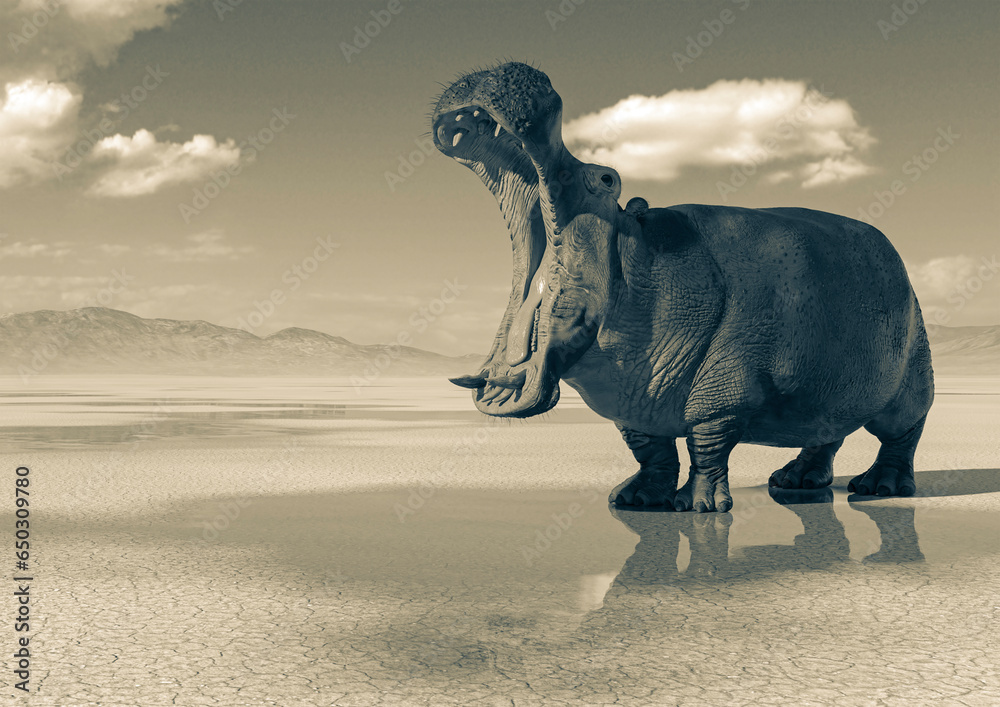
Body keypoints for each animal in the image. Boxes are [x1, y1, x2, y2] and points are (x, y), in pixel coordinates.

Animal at [431, 62, 934, 512]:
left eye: (607, 178)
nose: (518, 73)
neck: (638, 262)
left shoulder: (721, 394)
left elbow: (707, 445)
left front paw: (698, 506)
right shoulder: (632, 400)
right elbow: (650, 449)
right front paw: (634, 499)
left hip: (910, 376)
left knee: (901, 434)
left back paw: (879, 488)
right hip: (830, 388)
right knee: (825, 432)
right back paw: (795, 481)